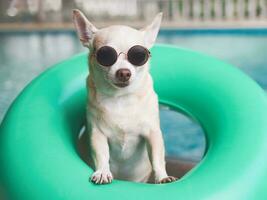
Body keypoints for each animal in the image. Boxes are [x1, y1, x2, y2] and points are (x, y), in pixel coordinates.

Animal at [73, 9, 178, 184]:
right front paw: (102, 172)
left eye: (139, 56)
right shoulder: (97, 135)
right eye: (105, 56)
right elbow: (102, 155)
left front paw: (163, 176)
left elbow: (157, 158)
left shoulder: (153, 133)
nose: (124, 72)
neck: (121, 98)